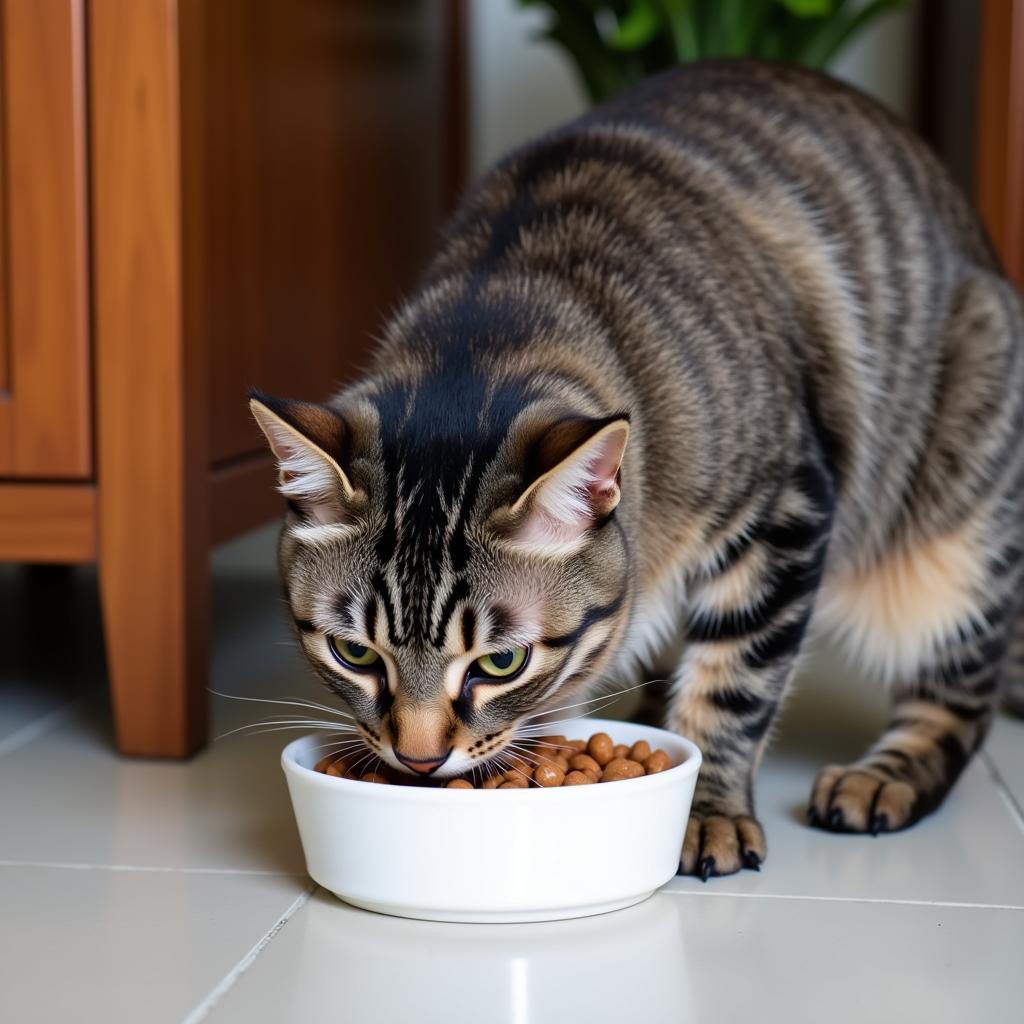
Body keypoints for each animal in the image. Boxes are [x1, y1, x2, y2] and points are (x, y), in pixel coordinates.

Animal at [249, 59, 1024, 876]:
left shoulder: (785, 509)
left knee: (957, 700)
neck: (487, 325)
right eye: (354, 652)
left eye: (502, 662)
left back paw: (883, 778)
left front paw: (706, 812)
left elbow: (734, 686)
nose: (420, 761)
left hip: (962, 542)